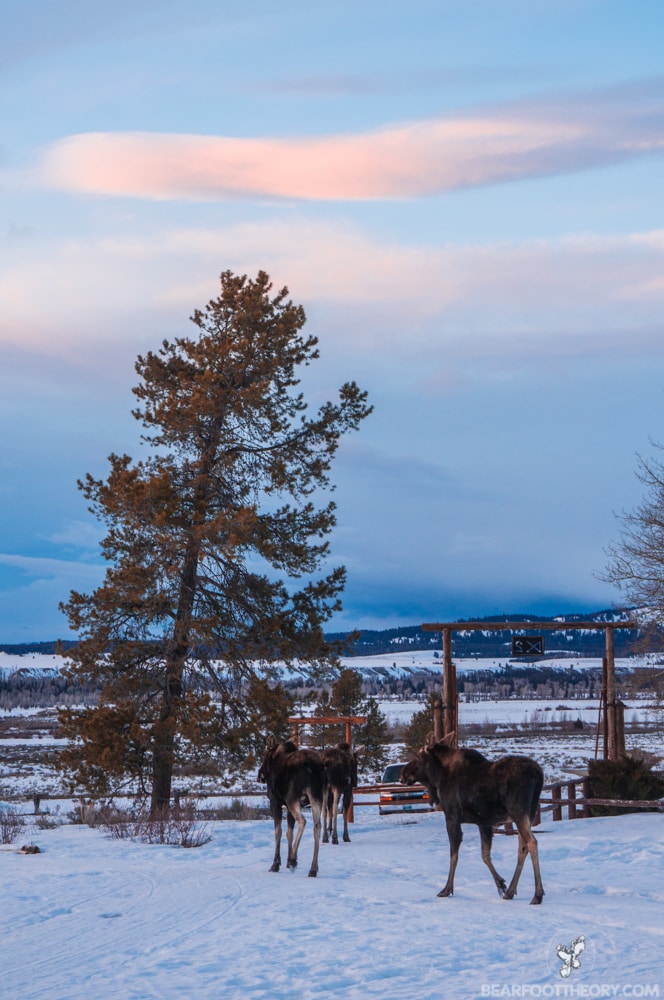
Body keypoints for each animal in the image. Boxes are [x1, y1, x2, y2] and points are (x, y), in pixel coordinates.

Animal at [256, 736, 326, 876]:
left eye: (264, 753)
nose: (260, 775)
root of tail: (312, 768)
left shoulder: (275, 802)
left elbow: (278, 832)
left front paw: (276, 864)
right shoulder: (288, 807)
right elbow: (289, 832)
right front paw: (287, 861)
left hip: (292, 799)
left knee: (302, 821)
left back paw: (294, 860)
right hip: (316, 797)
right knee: (317, 826)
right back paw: (313, 869)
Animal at [400, 736, 544, 908]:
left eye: (418, 757)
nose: (403, 774)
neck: (437, 779)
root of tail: (538, 774)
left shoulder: (452, 816)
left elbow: (454, 855)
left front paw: (447, 889)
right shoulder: (484, 822)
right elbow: (485, 855)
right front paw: (501, 883)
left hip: (518, 812)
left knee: (532, 842)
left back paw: (537, 894)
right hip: (528, 813)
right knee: (522, 847)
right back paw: (510, 891)